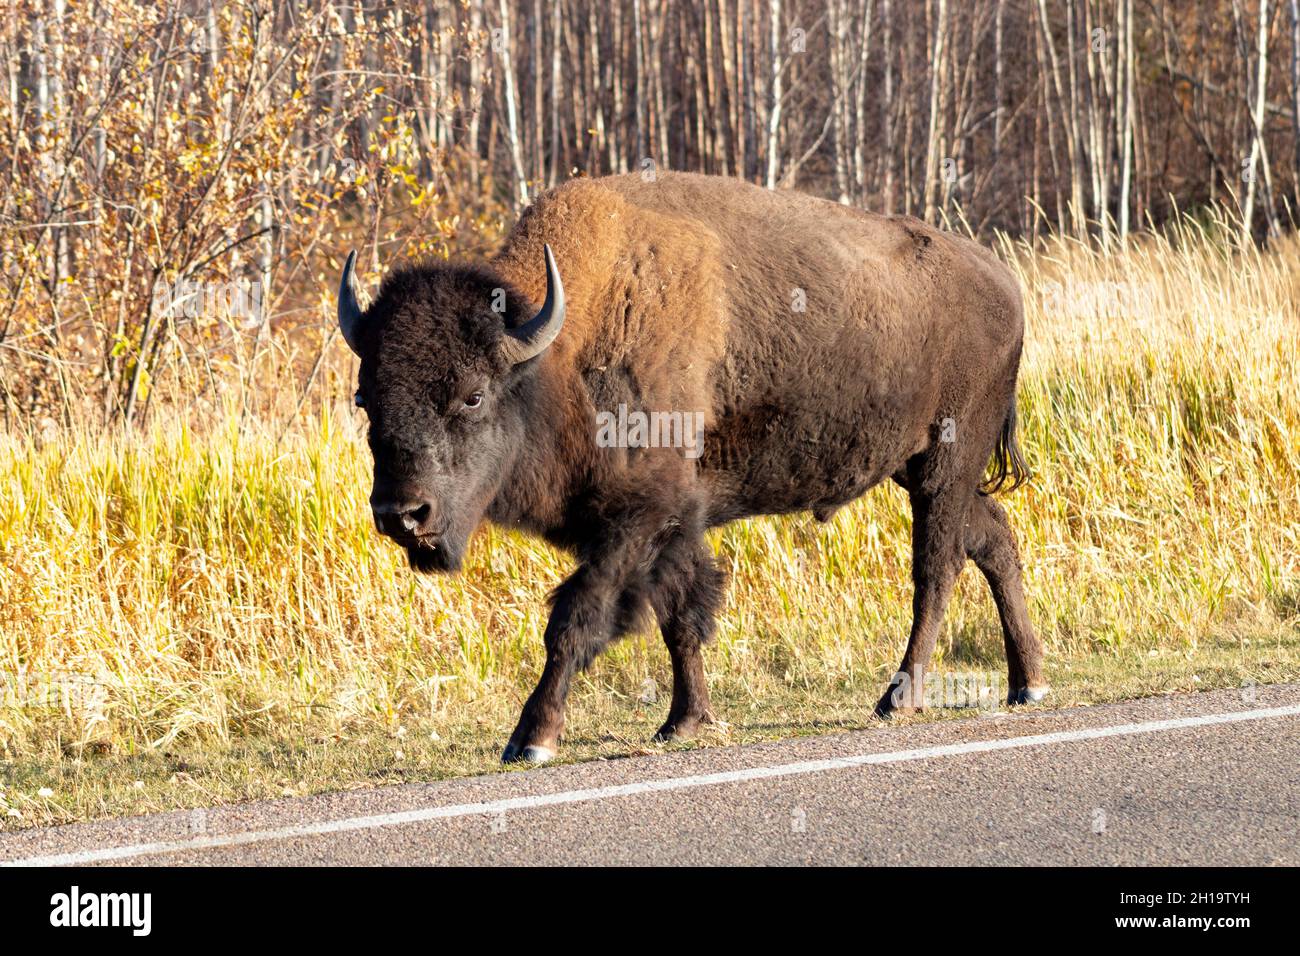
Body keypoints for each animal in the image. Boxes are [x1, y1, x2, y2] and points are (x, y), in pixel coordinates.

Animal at [336, 171, 1048, 763]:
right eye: (365, 397)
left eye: (473, 395)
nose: (402, 514)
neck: (558, 357)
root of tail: (1005, 282)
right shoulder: (674, 521)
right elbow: (679, 617)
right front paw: (685, 721)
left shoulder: (637, 521)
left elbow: (577, 618)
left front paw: (530, 739)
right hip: (917, 465)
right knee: (992, 537)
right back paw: (1029, 683)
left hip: (944, 463)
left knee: (937, 568)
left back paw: (899, 700)